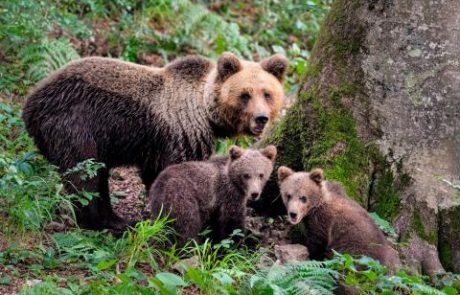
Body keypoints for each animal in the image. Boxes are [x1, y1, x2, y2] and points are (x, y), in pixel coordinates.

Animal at [23, 52, 288, 231]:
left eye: (267, 93)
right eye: (245, 95)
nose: (261, 118)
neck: (205, 113)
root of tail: (31, 104)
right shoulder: (181, 135)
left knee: (98, 176)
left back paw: (117, 219)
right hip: (75, 125)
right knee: (84, 176)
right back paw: (100, 222)